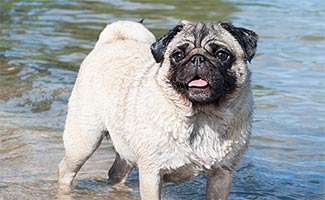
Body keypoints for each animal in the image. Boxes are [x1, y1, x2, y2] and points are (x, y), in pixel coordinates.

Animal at [57, 19, 256, 200]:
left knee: (116, 173)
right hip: (84, 142)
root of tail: (111, 42)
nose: (198, 59)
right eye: (178, 55)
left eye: (222, 55)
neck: (202, 116)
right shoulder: (151, 173)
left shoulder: (222, 174)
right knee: (65, 170)